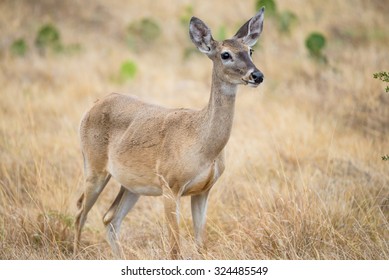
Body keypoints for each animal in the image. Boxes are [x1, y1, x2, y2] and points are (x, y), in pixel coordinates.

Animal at [73, 7, 264, 260]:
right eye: (225, 54)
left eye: (250, 50)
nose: (257, 75)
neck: (202, 142)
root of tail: (92, 106)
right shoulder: (170, 185)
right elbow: (175, 250)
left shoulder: (203, 190)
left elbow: (200, 245)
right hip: (94, 167)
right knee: (80, 212)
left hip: (131, 185)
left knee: (110, 218)